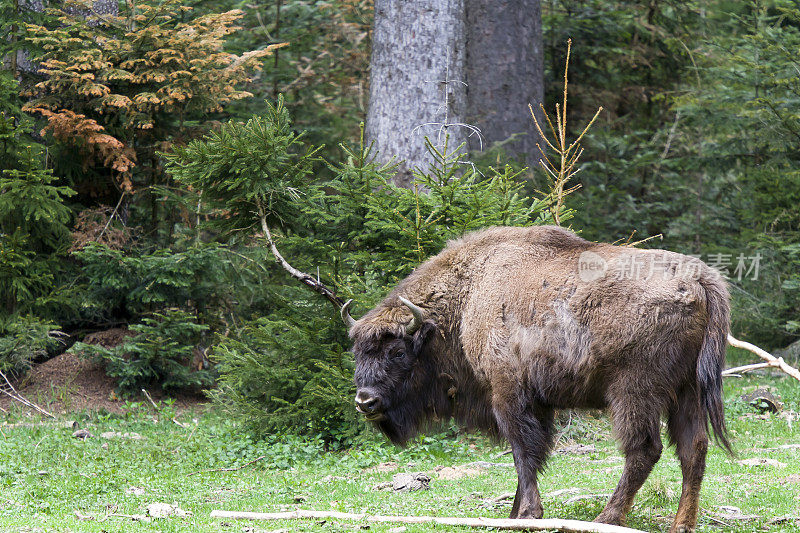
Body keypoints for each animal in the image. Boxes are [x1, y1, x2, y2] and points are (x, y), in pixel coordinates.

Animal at [344, 225, 732, 532]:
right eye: (358, 353)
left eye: (397, 352)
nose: (365, 401)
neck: (468, 296)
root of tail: (701, 280)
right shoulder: (539, 402)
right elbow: (534, 453)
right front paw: (516, 513)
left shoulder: (509, 394)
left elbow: (523, 451)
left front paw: (528, 514)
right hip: (687, 391)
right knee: (693, 448)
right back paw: (681, 524)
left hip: (634, 391)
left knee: (644, 449)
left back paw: (606, 518)